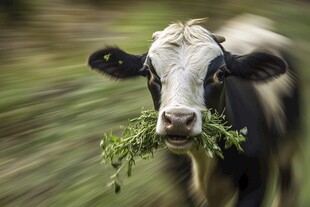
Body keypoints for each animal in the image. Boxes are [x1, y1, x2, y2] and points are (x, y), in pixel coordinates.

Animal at [87, 16, 300, 207]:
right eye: (148, 72)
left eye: (220, 73)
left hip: (287, 145)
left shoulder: (257, 181)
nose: (178, 120)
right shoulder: (182, 186)